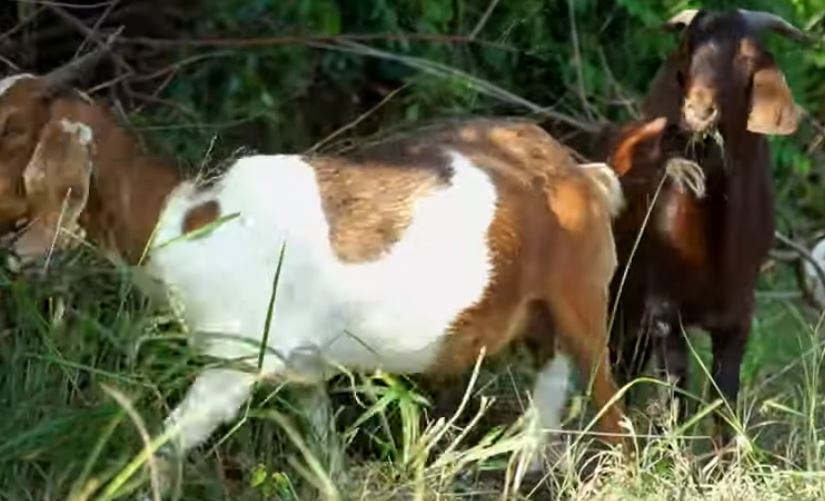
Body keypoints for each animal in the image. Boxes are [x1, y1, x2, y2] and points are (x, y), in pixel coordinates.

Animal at [3, 64, 628, 490]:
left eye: (10, 129)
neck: (177, 219)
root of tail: (580, 170)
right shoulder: (303, 369)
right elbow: (324, 454)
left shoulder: (236, 361)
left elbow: (162, 444)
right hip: (539, 316)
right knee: (550, 383)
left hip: (580, 295)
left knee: (609, 408)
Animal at [604, 8, 804, 442]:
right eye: (687, 49)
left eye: (748, 57)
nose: (698, 112)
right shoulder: (664, 310)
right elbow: (675, 396)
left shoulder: (739, 315)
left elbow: (724, 399)